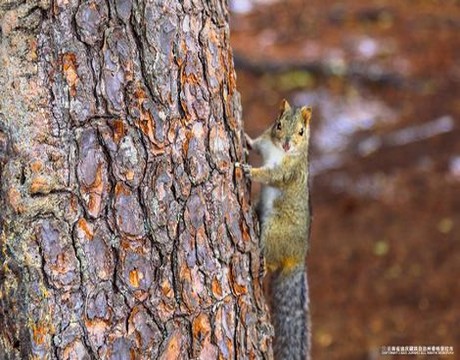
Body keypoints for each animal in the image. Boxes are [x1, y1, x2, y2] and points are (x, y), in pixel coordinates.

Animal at [237, 99, 312, 360]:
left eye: (302, 132)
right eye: (278, 124)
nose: (287, 144)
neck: (280, 151)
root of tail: (298, 256)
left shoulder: (286, 171)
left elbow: (269, 175)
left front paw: (250, 171)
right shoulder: (265, 144)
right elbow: (256, 144)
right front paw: (245, 138)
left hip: (273, 232)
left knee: (270, 260)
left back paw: (263, 266)